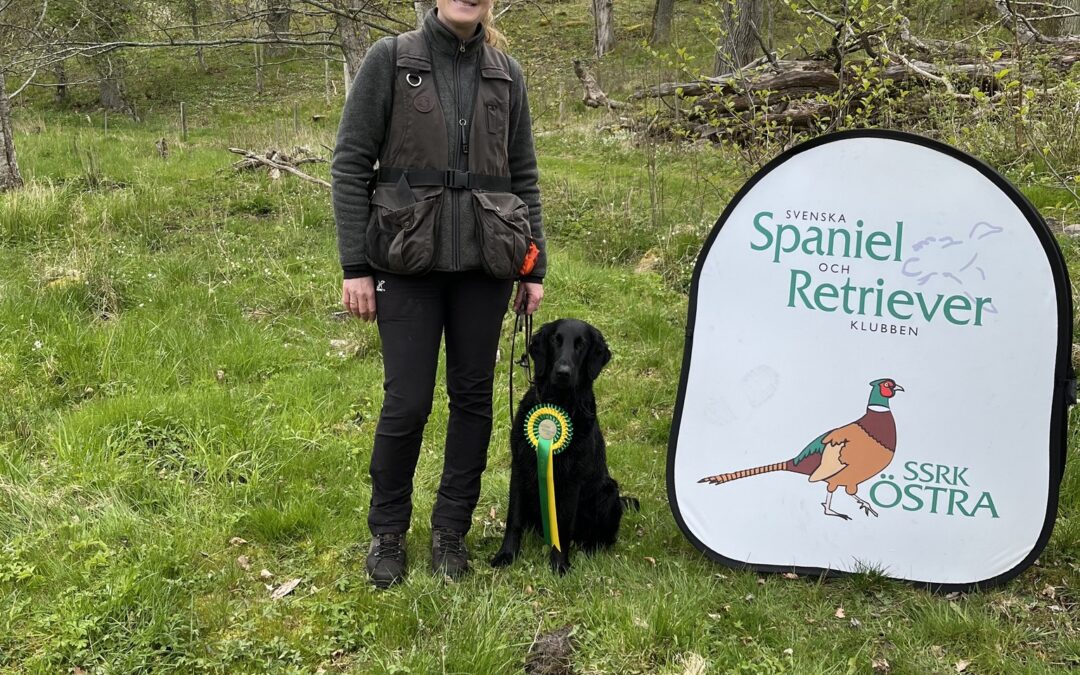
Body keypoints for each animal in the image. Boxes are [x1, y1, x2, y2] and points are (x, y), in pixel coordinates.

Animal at [491, 319, 639, 574]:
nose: (562, 373)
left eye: (581, 345)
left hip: (609, 492)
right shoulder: (519, 467)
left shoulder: (572, 480)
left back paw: (589, 549)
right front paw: (506, 555)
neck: (559, 403)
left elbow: (563, 525)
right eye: (555, 340)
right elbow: (514, 519)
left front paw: (559, 565)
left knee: (603, 538)